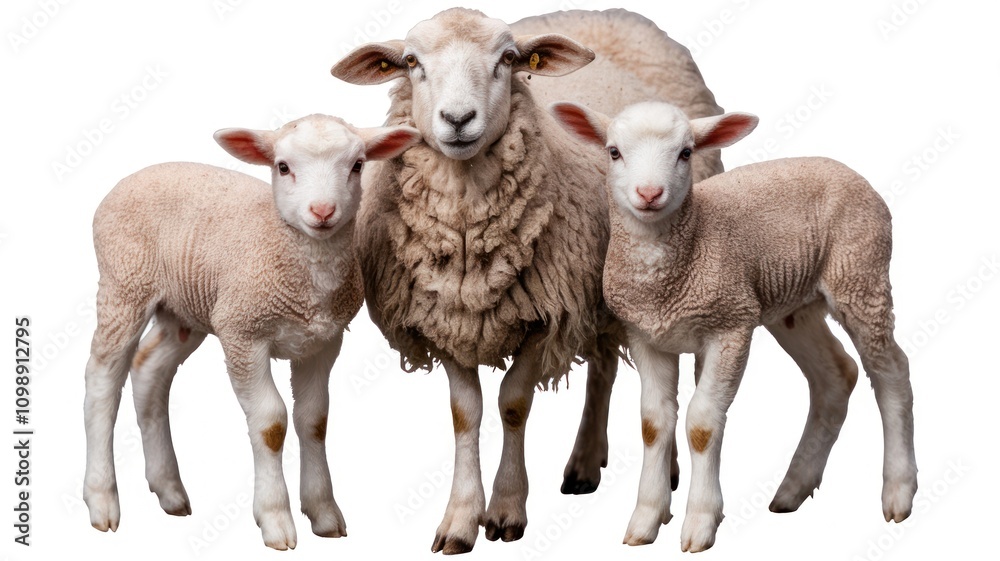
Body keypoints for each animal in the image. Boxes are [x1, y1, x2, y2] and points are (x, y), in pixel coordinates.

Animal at [81, 114, 421, 550]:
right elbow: (271, 423)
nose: (322, 211)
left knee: (148, 370)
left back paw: (169, 490)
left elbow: (314, 419)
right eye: (283, 167)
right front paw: (276, 519)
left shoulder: (324, 342)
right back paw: (101, 499)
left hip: (185, 308)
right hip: (124, 284)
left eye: (358, 165)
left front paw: (324, 513)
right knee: (102, 380)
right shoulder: (243, 333)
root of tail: (134, 176)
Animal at [330, 8, 728, 553]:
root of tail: (606, 14)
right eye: (411, 62)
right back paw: (585, 463)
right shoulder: (444, 318)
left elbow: (513, 405)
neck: (468, 242)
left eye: (507, 59)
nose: (458, 120)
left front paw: (505, 510)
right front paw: (460, 519)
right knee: (604, 368)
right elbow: (466, 413)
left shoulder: (548, 315)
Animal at [550, 100, 917, 551]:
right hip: (795, 306)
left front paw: (700, 522)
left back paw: (898, 491)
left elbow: (702, 424)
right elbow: (653, 424)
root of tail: (842, 167)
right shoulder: (646, 335)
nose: (649, 194)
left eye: (686, 153)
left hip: (860, 273)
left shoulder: (729, 326)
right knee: (836, 375)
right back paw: (792, 489)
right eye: (613, 152)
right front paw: (646, 520)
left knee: (891, 372)